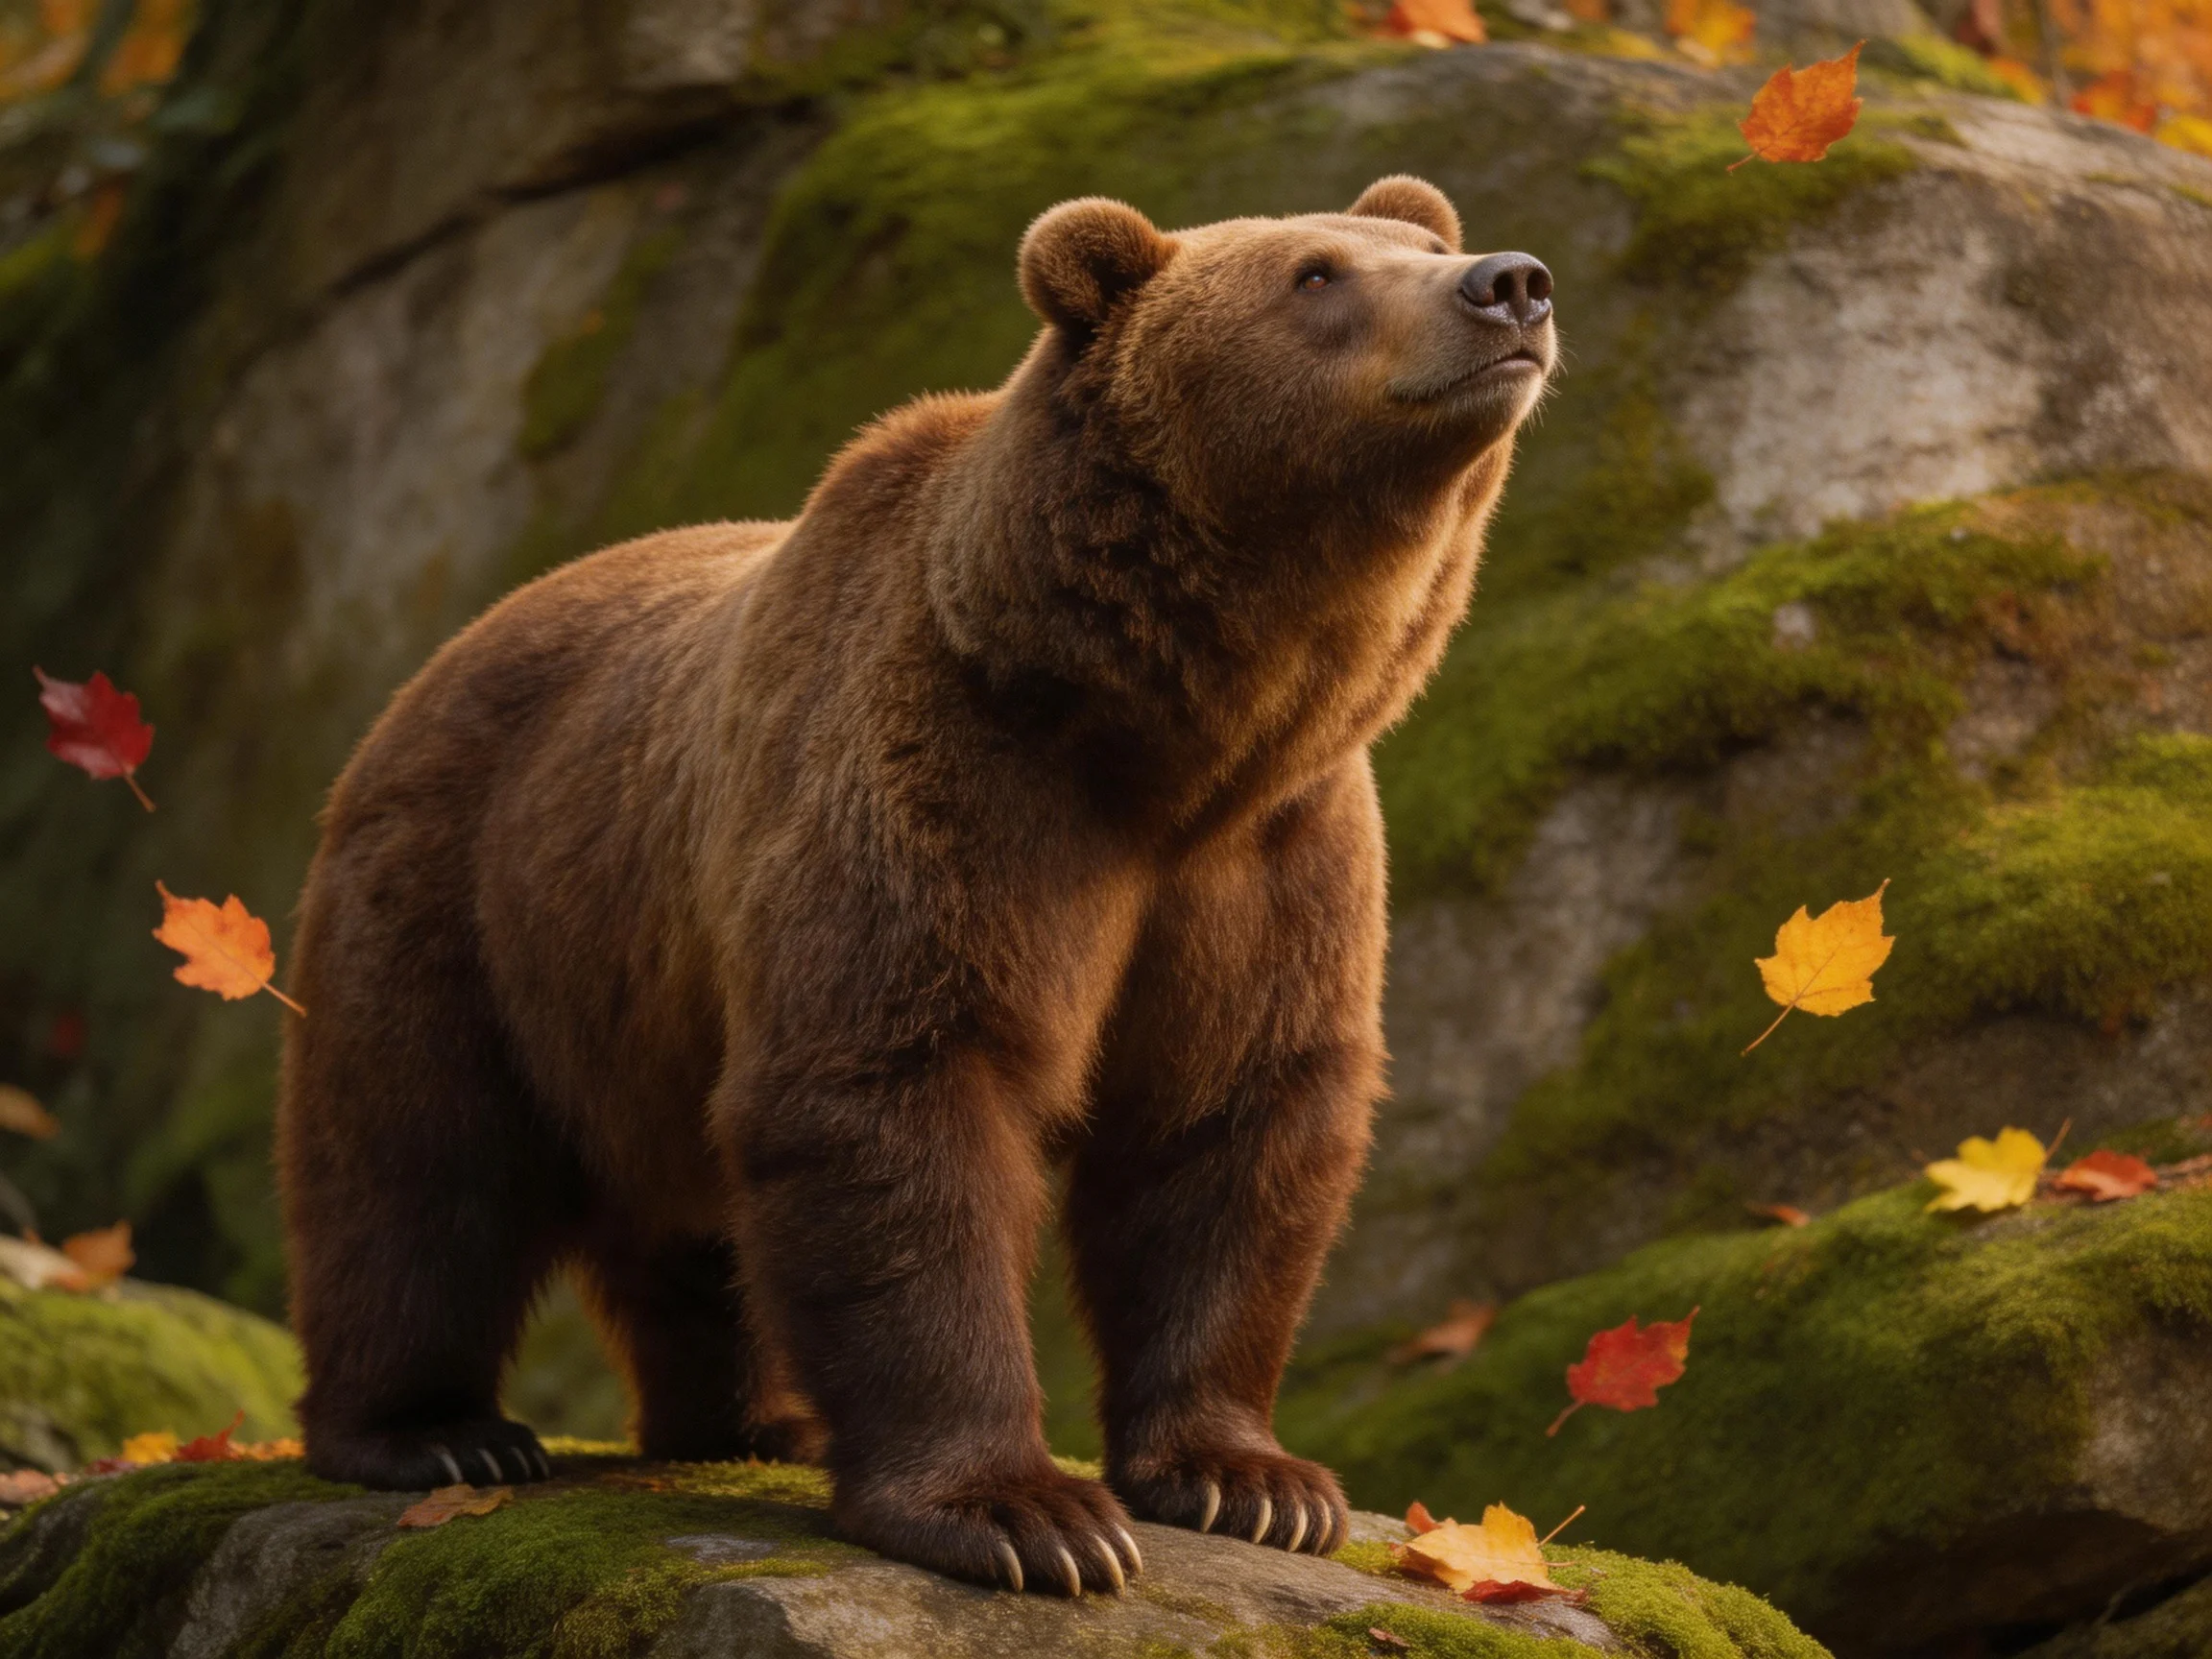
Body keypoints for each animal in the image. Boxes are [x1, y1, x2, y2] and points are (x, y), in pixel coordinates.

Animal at [276, 174, 1555, 1595]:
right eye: (1317, 273)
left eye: (1423, 241)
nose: (1509, 283)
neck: (1168, 729)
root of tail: (437, 660)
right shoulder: (949, 774)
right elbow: (899, 1081)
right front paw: (1026, 1515)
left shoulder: (1271, 849)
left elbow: (1230, 1117)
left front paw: (1254, 1483)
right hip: (464, 894)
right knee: (417, 1160)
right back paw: (432, 1432)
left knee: (687, 1223)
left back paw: (756, 1421)